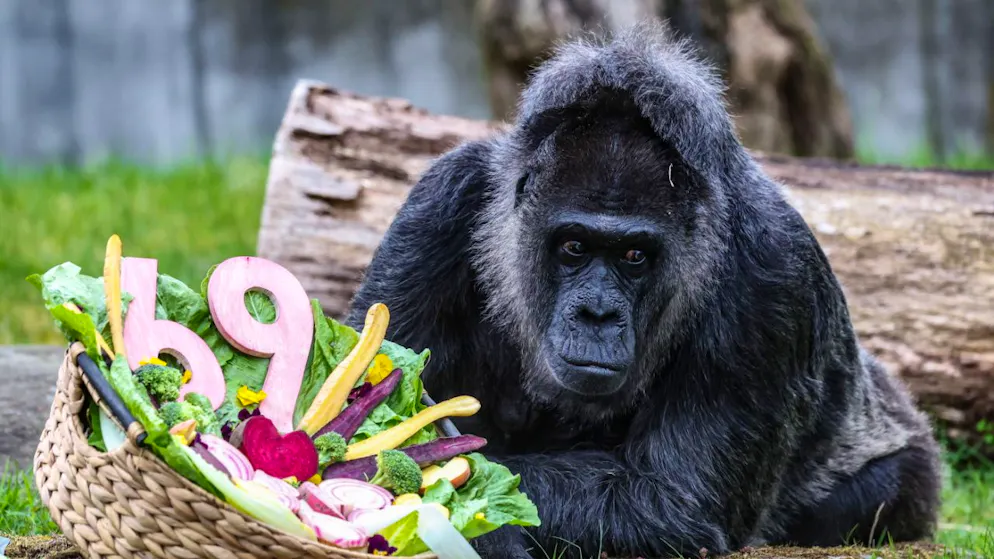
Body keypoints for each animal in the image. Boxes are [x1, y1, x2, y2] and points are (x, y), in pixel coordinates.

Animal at [344, 22, 942, 559]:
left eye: (635, 256)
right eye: (574, 247)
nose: (597, 314)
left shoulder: (774, 272)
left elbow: (670, 500)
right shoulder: (439, 203)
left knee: (883, 491)